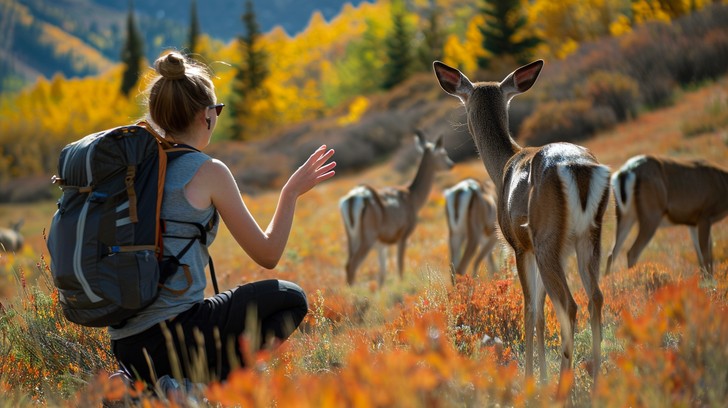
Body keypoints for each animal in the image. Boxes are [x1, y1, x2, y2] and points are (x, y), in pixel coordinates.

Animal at [340, 130, 454, 287]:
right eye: (443, 153)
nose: (451, 164)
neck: (412, 197)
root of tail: (352, 199)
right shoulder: (403, 236)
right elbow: (400, 266)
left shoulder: (382, 244)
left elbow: (382, 274)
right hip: (367, 238)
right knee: (352, 265)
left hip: (352, 237)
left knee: (348, 264)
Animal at [433, 60, 611, 389]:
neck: (504, 164)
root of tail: (578, 168)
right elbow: (540, 312)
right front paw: (541, 376)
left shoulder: (518, 245)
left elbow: (530, 309)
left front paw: (531, 379)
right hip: (590, 235)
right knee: (595, 297)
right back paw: (595, 385)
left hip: (546, 239)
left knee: (569, 304)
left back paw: (564, 388)